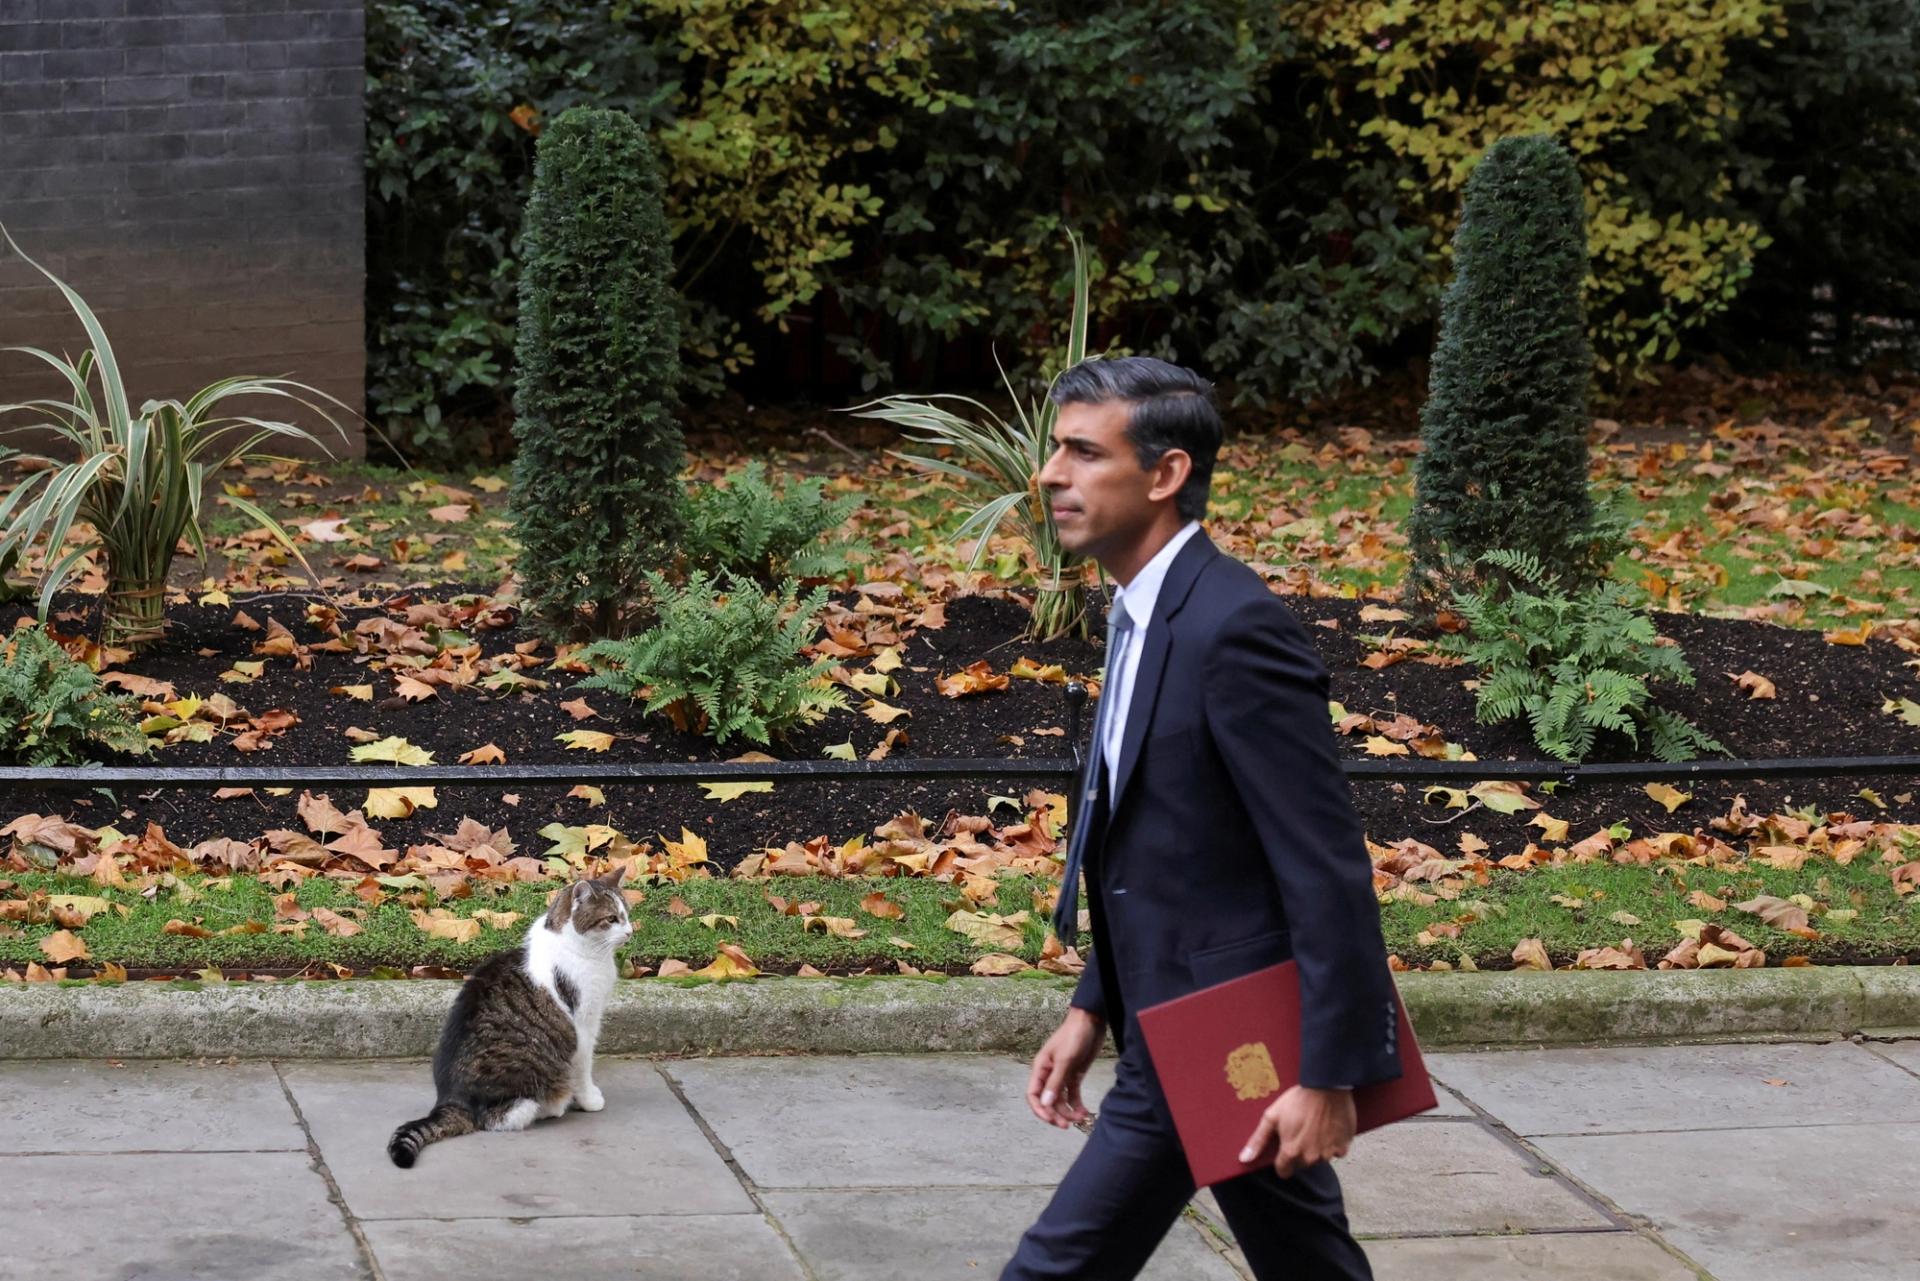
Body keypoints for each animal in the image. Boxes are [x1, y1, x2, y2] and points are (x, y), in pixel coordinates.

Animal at [385, 868, 633, 1167]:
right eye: (611, 919)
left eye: (627, 914)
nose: (631, 932)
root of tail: (451, 1100)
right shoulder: (584, 1024)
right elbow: (583, 1068)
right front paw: (589, 1099)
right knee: (500, 1118)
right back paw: (553, 1106)